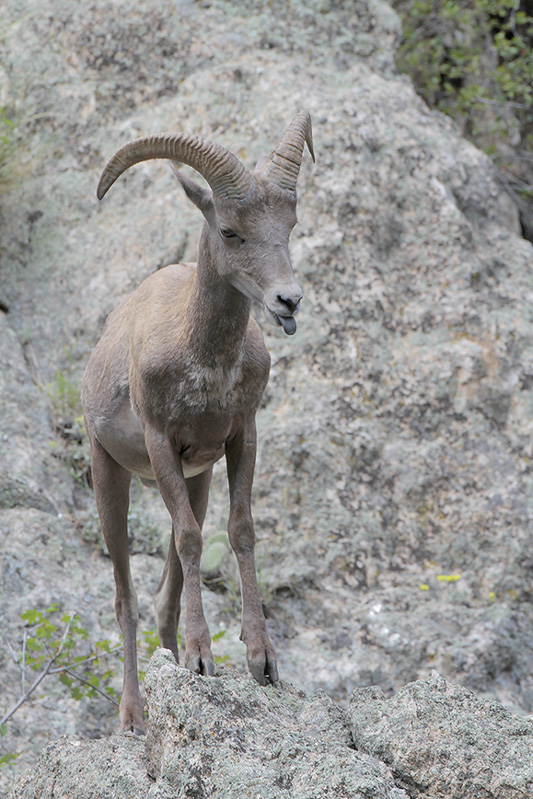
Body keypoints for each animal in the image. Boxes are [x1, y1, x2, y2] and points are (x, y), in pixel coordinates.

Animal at [81, 111, 314, 732]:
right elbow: (189, 539)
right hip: (111, 475)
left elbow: (240, 530)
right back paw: (135, 716)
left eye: (289, 225)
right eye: (231, 231)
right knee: (127, 600)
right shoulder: (162, 442)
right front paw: (203, 656)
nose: (288, 302)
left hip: (196, 479)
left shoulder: (237, 437)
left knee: (165, 594)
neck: (202, 360)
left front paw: (261, 660)